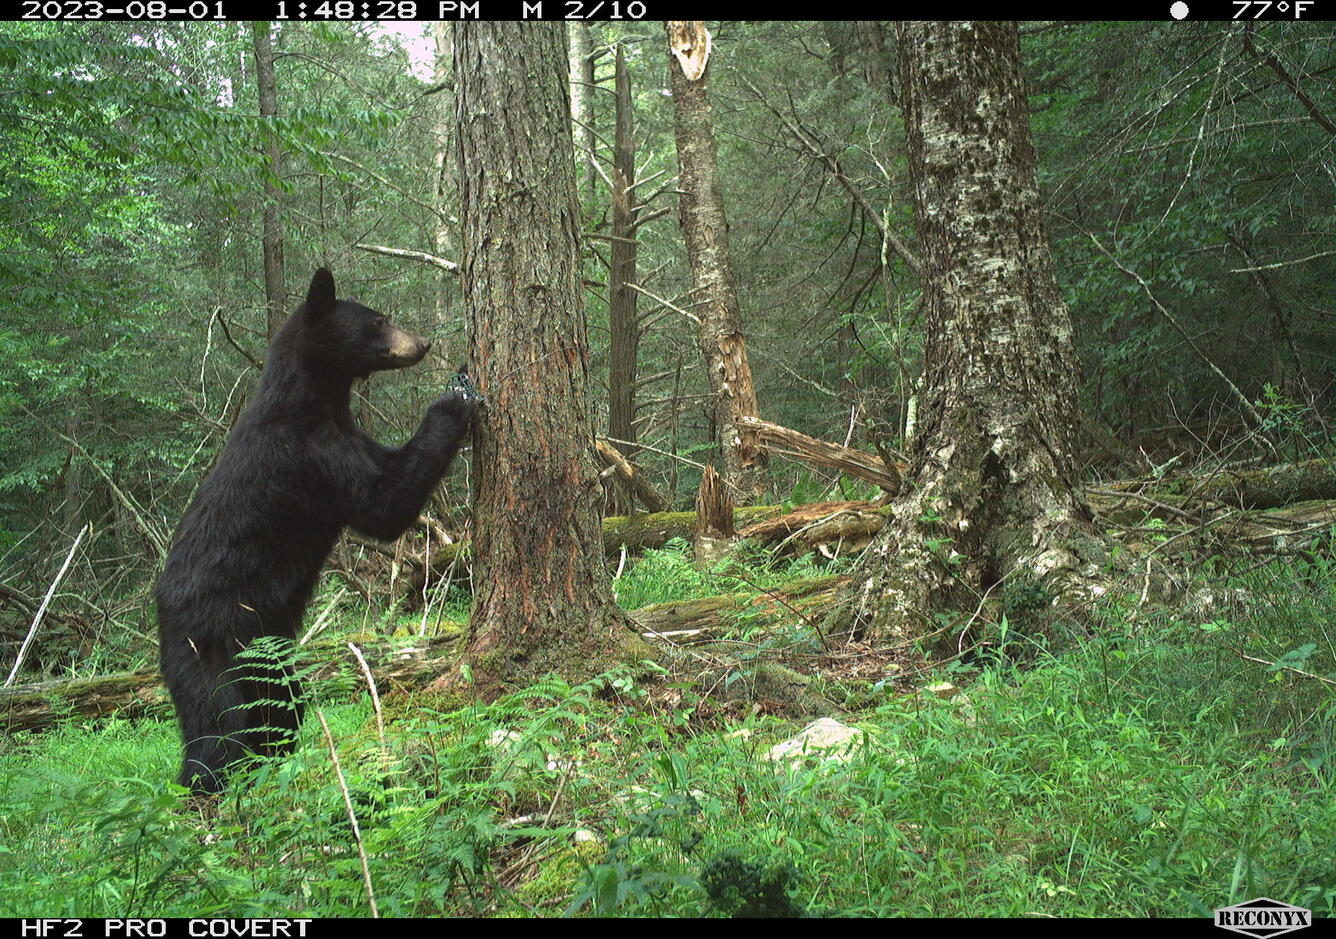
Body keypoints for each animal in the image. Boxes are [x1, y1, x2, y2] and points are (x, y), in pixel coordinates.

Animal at [155, 268, 480, 794]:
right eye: (378, 320)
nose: (423, 343)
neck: (318, 399)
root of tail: (161, 613)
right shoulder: (310, 456)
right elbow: (381, 507)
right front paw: (455, 398)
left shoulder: (350, 435)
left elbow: (387, 474)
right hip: (210, 641)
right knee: (217, 725)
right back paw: (208, 783)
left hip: (269, 653)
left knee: (280, 708)